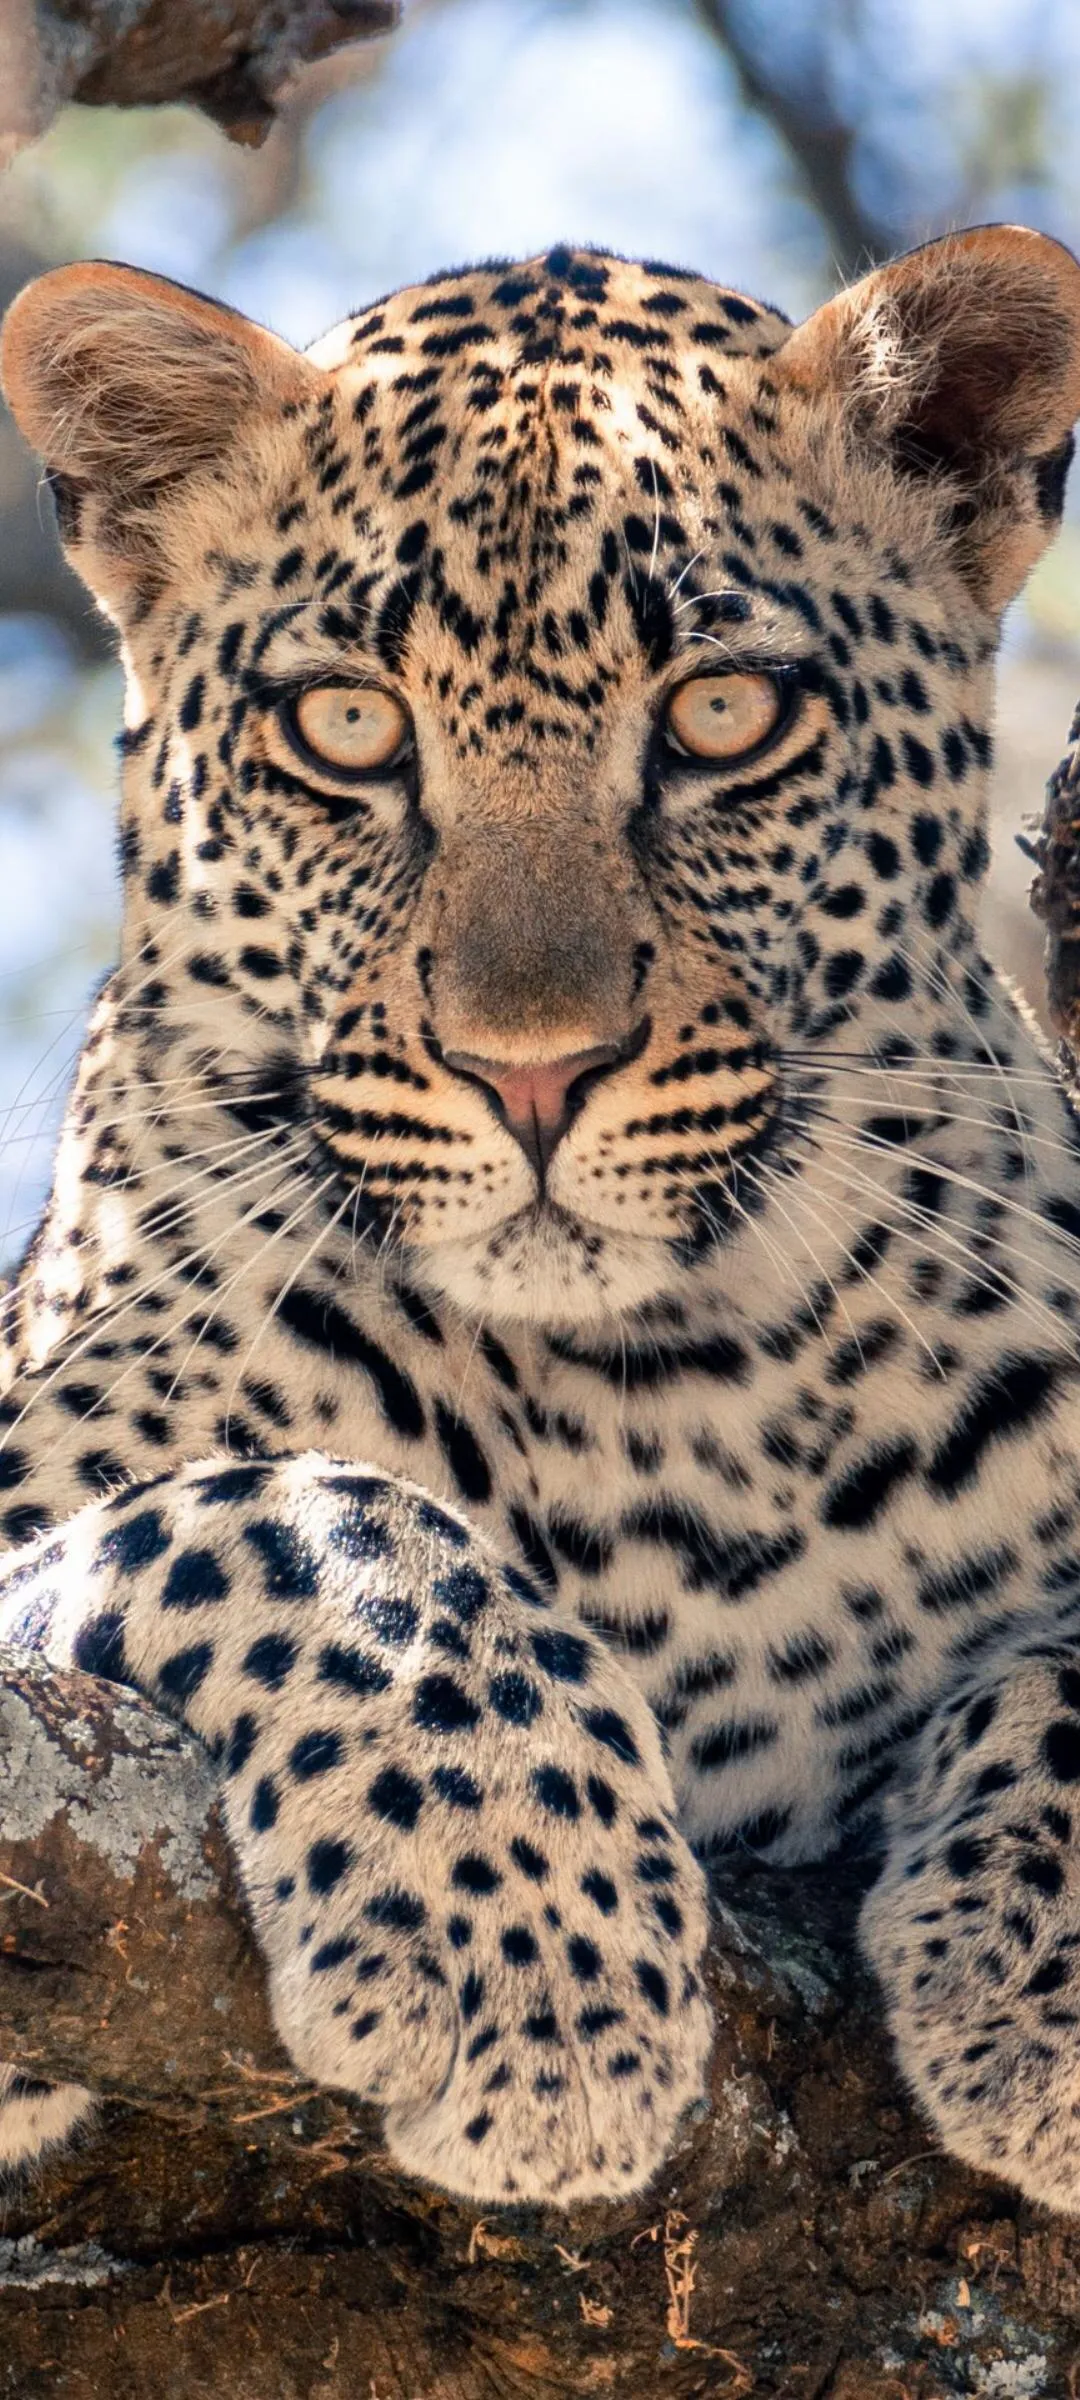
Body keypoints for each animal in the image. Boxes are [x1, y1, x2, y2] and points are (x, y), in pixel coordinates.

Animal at [4, 223, 1080, 2213]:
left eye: (726, 714)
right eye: (347, 725)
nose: (534, 1071)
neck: (669, 1393)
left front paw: (1039, 1988)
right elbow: (302, 1507)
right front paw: (527, 1950)